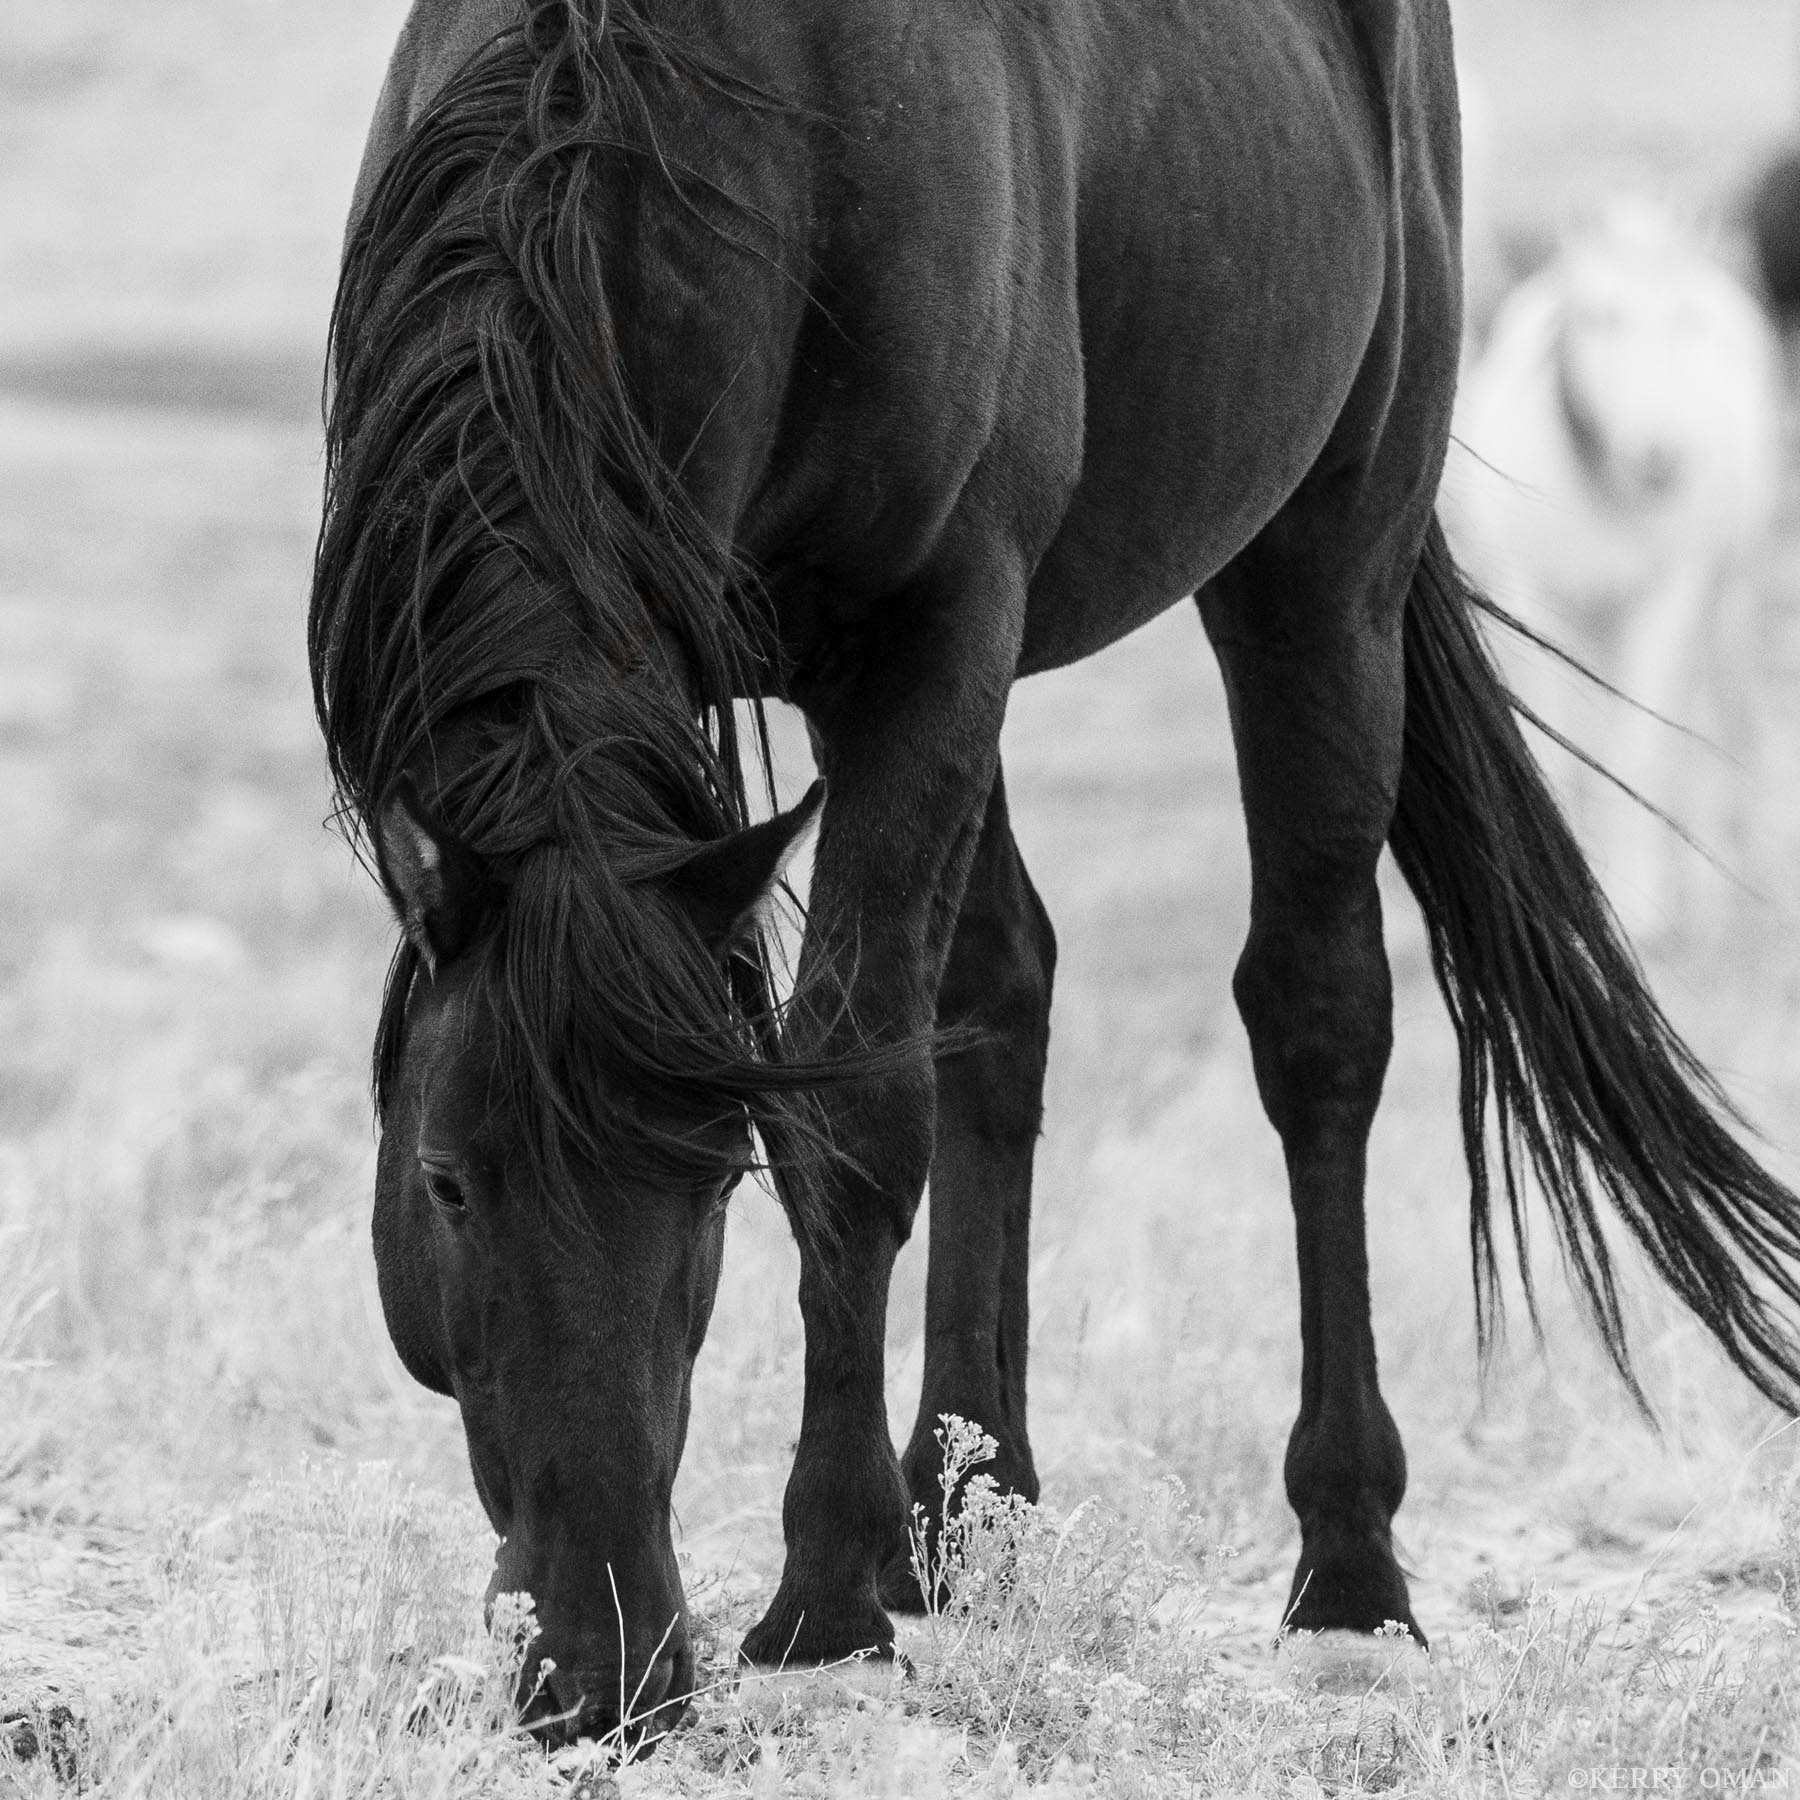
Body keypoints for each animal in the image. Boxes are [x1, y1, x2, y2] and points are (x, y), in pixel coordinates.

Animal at [1443, 197, 1784, 941]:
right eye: (1600, 317)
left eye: (1686, 320)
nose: (1662, 457)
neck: (1603, 489)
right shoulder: (1537, 602)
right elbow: (1557, 751)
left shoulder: (1667, 602)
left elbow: (1642, 748)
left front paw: (1642, 905)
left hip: (1727, 595)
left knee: (1723, 719)